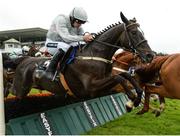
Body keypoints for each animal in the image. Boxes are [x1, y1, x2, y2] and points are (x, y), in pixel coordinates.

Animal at [9, 11, 154, 107]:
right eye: (134, 33)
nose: (150, 55)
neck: (95, 54)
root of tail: (23, 59)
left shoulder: (104, 83)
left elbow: (125, 75)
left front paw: (138, 95)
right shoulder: (91, 88)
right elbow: (119, 78)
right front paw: (131, 98)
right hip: (19, 90)